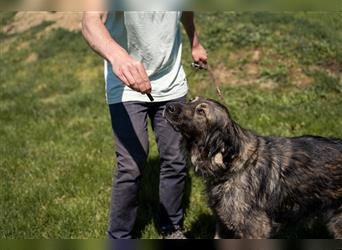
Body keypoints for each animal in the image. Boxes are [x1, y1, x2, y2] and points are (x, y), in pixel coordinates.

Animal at [164, 95, 340, 238]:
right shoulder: (223, 224)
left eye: (201, 112)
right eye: (190, 100)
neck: (234, 166)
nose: (168, 106)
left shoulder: (254, 229)